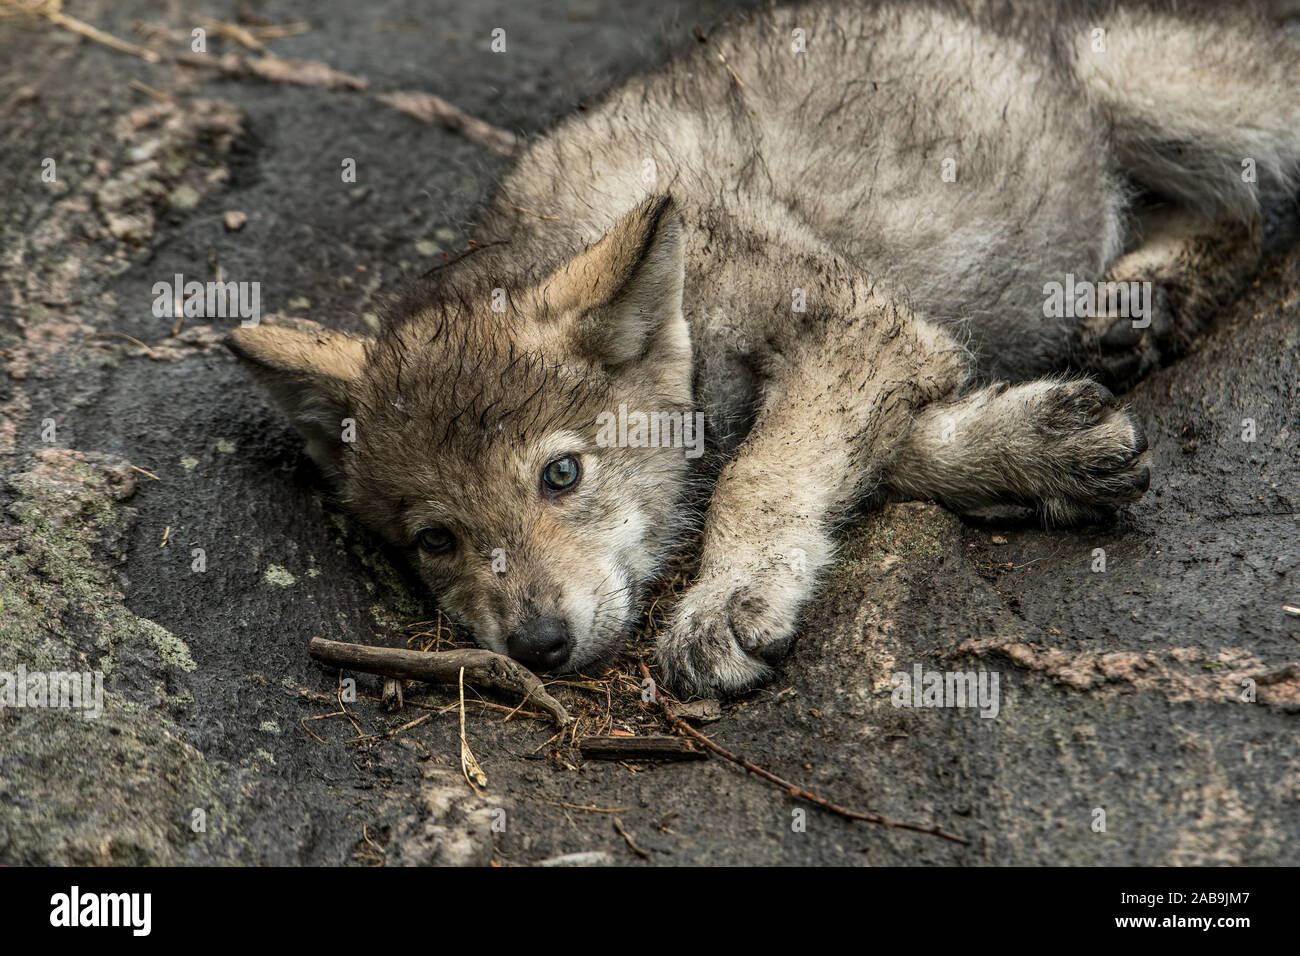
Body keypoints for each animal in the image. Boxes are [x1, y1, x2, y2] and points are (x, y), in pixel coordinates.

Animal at [228, 0, 1300, 695]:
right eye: (434, 540)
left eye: (561, 475)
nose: (535, 645)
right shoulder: (892, 349)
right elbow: (860, 451)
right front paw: (1039, 448)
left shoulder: (857, 324)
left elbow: (759, 472)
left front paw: (725, 605)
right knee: (1237, 213)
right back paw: (1142, 302)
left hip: (1170, 91)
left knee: (1253, 198)